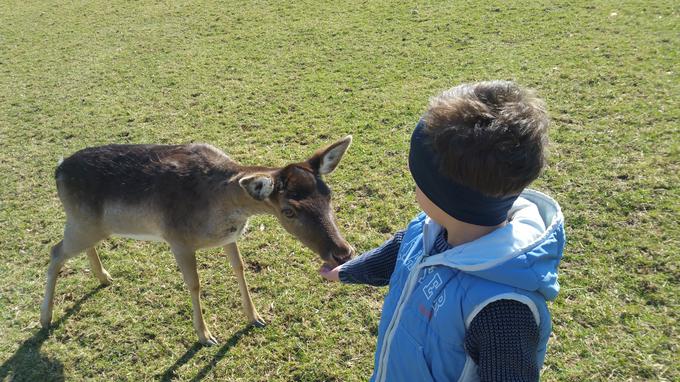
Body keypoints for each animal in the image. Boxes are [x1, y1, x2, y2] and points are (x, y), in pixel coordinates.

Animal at [41, 137, 356, 346]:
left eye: (328, 194)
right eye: (288, 211)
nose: (342, 252)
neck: (220, 203)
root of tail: (57, 169)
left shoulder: (230, 237)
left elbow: (240, 268)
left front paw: (255, 317)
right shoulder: (177, 239)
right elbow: (194, 284)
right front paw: (206, 336)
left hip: (88, 225)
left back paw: (104, 277)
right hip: (81, 224)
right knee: (55, 251)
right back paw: (45, 319)